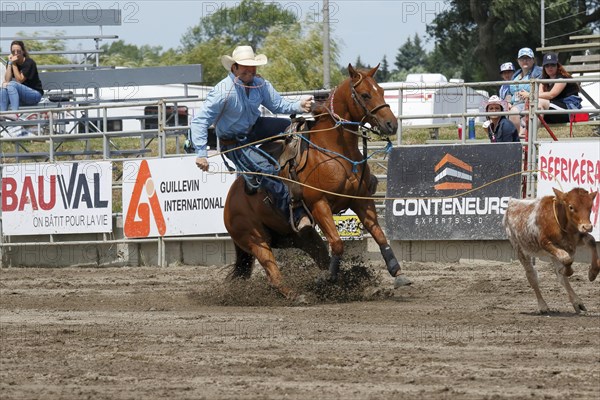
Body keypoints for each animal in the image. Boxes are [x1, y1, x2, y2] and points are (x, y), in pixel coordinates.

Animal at [224, 63, 408, 300]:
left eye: (383, 91)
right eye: (366, 94)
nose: (391, 124)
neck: (335, 151)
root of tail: (229, 201)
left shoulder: (361, 200)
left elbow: (379, 235)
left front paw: (398, 273)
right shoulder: (319, 204)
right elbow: (337, 243)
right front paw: (327, 278)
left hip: (301, 237)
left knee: (318, 253)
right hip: (255, 239)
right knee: (273, 273)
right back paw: (297, 295)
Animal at [504, 186, 596, 314]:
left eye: (590, 206)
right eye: (571, 207)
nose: (587, 227)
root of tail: (512, 203)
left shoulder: (576, 239)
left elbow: (592, 241)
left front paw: (593, 272)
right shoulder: (545, 244)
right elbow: (566, 260)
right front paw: (566, 270)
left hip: (552, 253)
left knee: (560, 277)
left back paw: (577, 302)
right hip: (519, 248)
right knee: (532, 276)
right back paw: (543, 306)